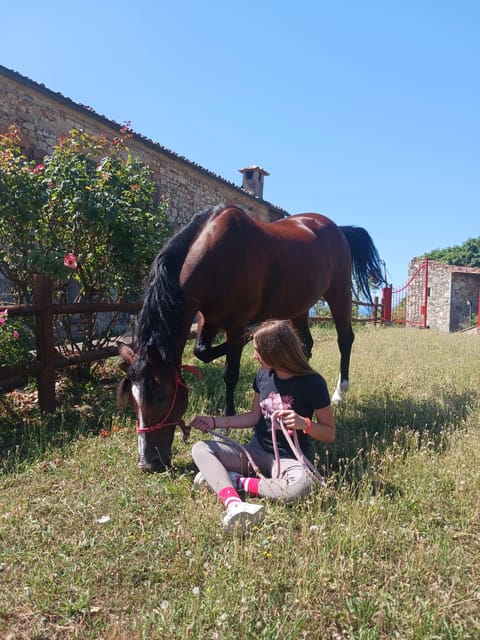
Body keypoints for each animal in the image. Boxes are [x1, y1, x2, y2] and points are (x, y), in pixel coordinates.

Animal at [117, 202, 386, 471]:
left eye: (161, 397)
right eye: (132, 399)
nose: (148, 462)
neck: (217, 255)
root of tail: (337, 229)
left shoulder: (235, 323)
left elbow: (230, 372)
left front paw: (226, 421)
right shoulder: (207, 318)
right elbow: (201, 351)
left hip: (339, 293)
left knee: (345, 339)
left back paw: (339, 393)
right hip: (298, 306)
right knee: (305, 344)